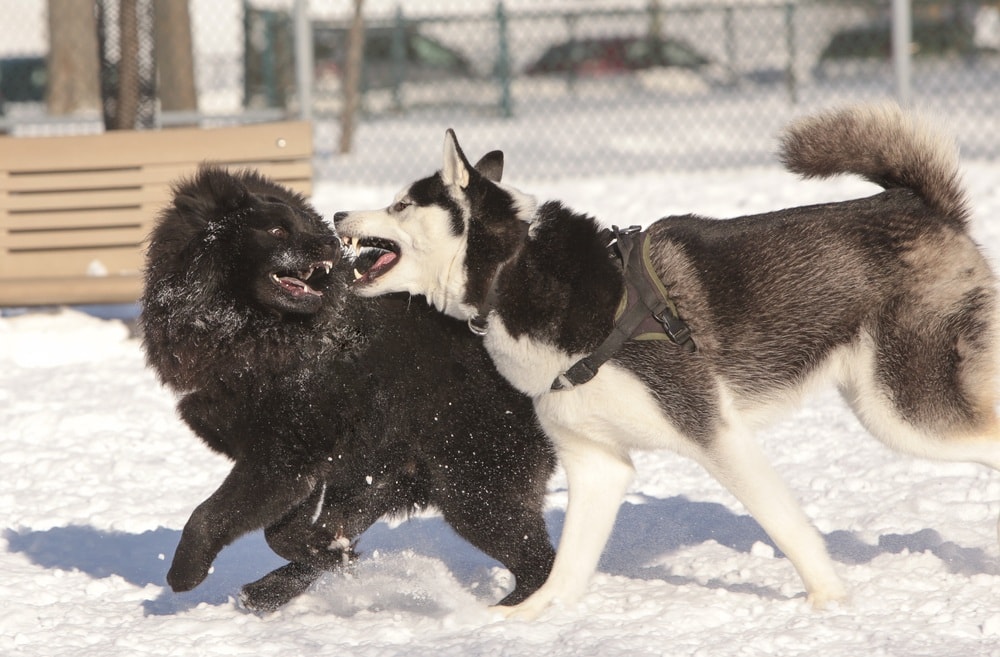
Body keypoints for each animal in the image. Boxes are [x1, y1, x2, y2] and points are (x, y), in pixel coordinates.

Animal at [140, 168, 556, 608]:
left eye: (306, 227)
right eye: (276, 230)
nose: (331, 242)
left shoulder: (283, 457)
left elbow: (210, 517)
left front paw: (185, 573)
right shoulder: (322, 464)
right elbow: (287, 532)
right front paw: (329, 552)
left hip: (475, 486)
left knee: (539, 562)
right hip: (410, 473)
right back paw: (270, 589)